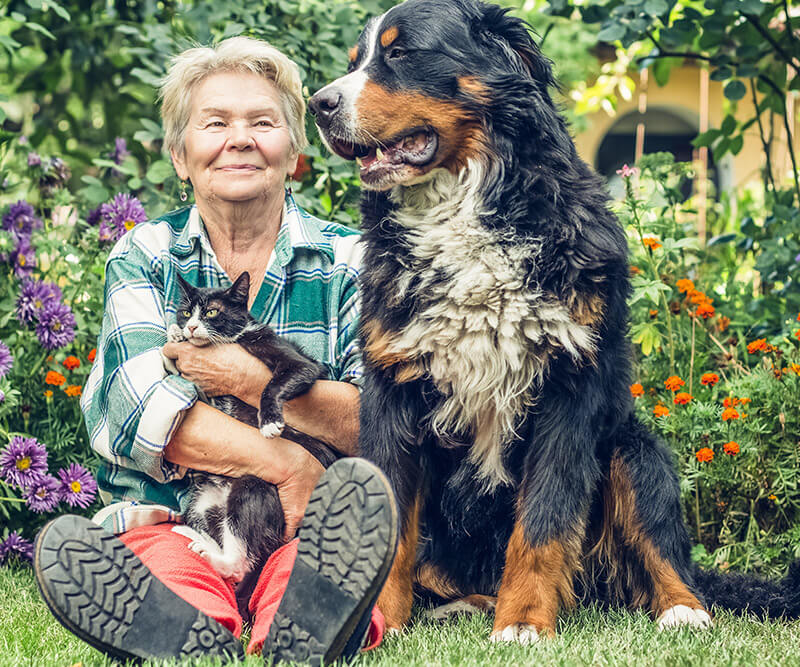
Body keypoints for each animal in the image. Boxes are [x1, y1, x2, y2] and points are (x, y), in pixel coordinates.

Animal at [164, 270, 340, 584]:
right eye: (185, 312)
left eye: (212, 312)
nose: (192, 326)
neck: (238, 337)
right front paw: (175, 332)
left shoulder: (298, 362)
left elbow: (277, 382)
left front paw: (269, 422)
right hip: (201, 503)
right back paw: (198, 538)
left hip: (252, 486)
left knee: (240, 562)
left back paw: (215, 556)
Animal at [308, 0, 800, 640]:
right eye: (354, 62)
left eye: (401, 52)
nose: (318, 104)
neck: (465, 216)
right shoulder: (395, 388)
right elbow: (390, 522)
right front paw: (379, 626)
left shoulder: (569, 389)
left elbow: (543, 524)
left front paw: (523, 623)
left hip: (633, 448)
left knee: (665, 554)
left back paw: (682, 611)